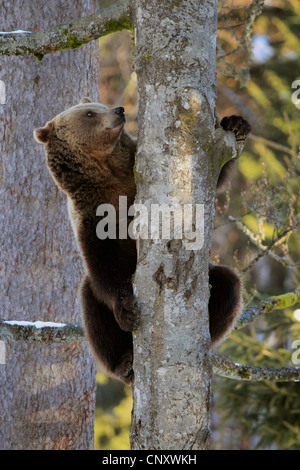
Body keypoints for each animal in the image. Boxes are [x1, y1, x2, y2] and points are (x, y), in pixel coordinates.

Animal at [34, 99, 251, 386]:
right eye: (89, 113)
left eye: (99, 105)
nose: (118, 110)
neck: (109, 174)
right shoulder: (92, 216)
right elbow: (105, 267)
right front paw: (125, 309)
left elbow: (213, 174)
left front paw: (236, 123)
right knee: (91, 302)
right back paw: (124, 363)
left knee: (228, 285)